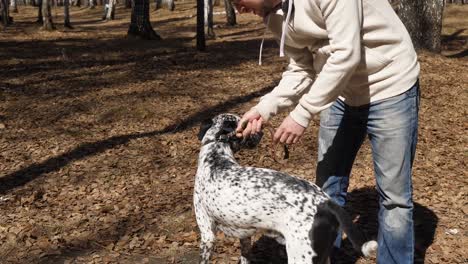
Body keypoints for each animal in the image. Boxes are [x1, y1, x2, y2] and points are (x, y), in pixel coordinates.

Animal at [194, 113, 376, 264]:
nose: (261, 132)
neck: (216, 156)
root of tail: (326, 202)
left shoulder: (207, 235)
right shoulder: (245, 237)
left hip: (300, 257)